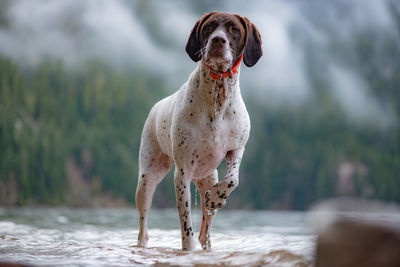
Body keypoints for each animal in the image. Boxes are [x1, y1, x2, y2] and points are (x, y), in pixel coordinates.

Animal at [136, 12, 264, 251]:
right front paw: (188, 248)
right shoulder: (182, 173)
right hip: (147, 180)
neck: (217, 95)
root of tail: (155, 108)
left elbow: (233, 180)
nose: (217, 40)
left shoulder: (236, 149)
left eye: (234, 29)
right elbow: (186, 225)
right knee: (143, 229)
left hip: (207, 177)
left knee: (206, 232)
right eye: (209, 26)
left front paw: (217, 197)